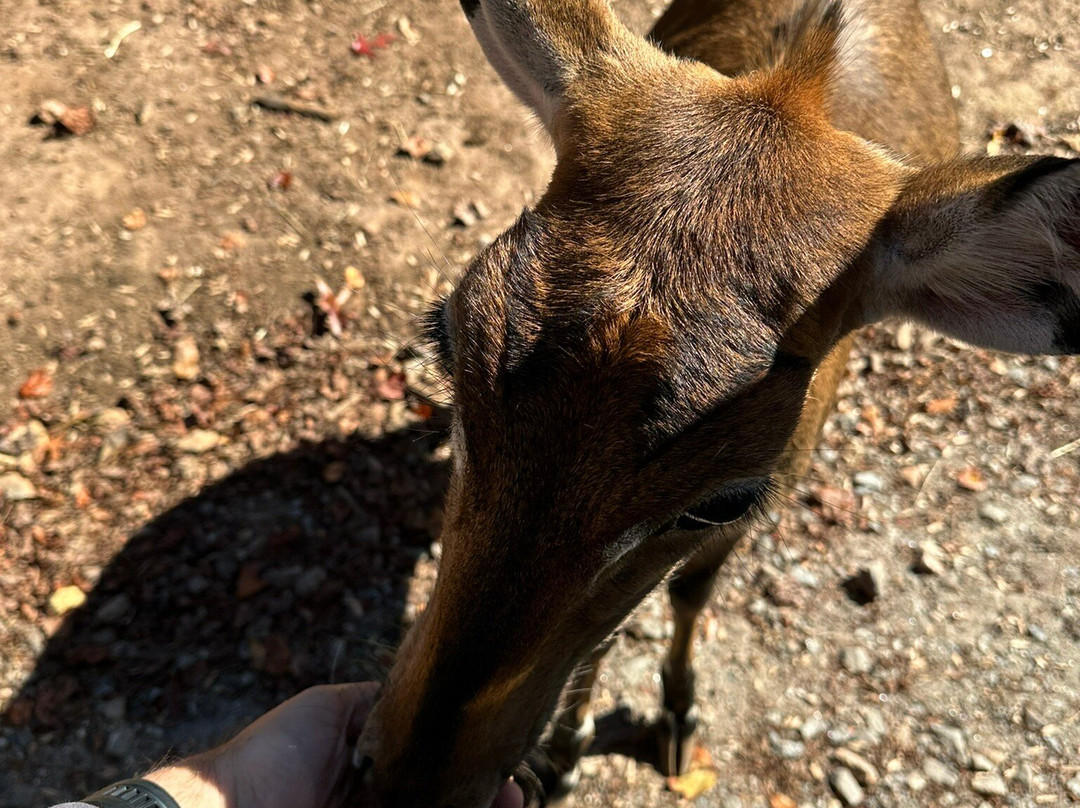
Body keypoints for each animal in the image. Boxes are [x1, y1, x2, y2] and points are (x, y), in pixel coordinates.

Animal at [349, 0, 1075, 803]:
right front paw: (566, 755)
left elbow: (683, 594)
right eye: (446, 337)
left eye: (724, 496)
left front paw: (673, 719)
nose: (406, 780)